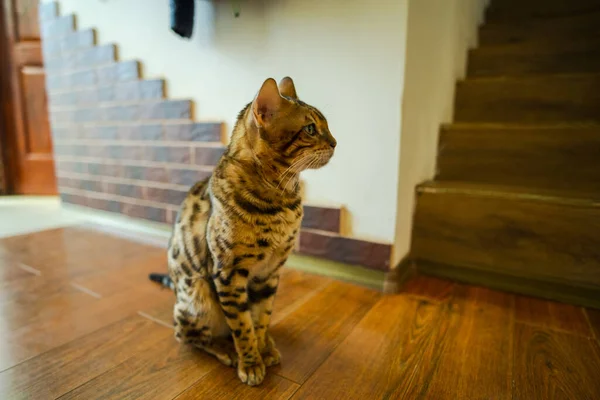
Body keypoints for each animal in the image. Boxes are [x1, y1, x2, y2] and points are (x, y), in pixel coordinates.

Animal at [149, 76, 338, 386]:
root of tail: (177, 290)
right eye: (311, 128)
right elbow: (242, 326)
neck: (281, 200)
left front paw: (263, 350)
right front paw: (250, 362)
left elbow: (261, 319)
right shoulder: (228, 273)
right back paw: (224, 349)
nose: (335, 142)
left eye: (327, 126)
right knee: (188, 335)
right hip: (198, 297)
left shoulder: (270, 273)